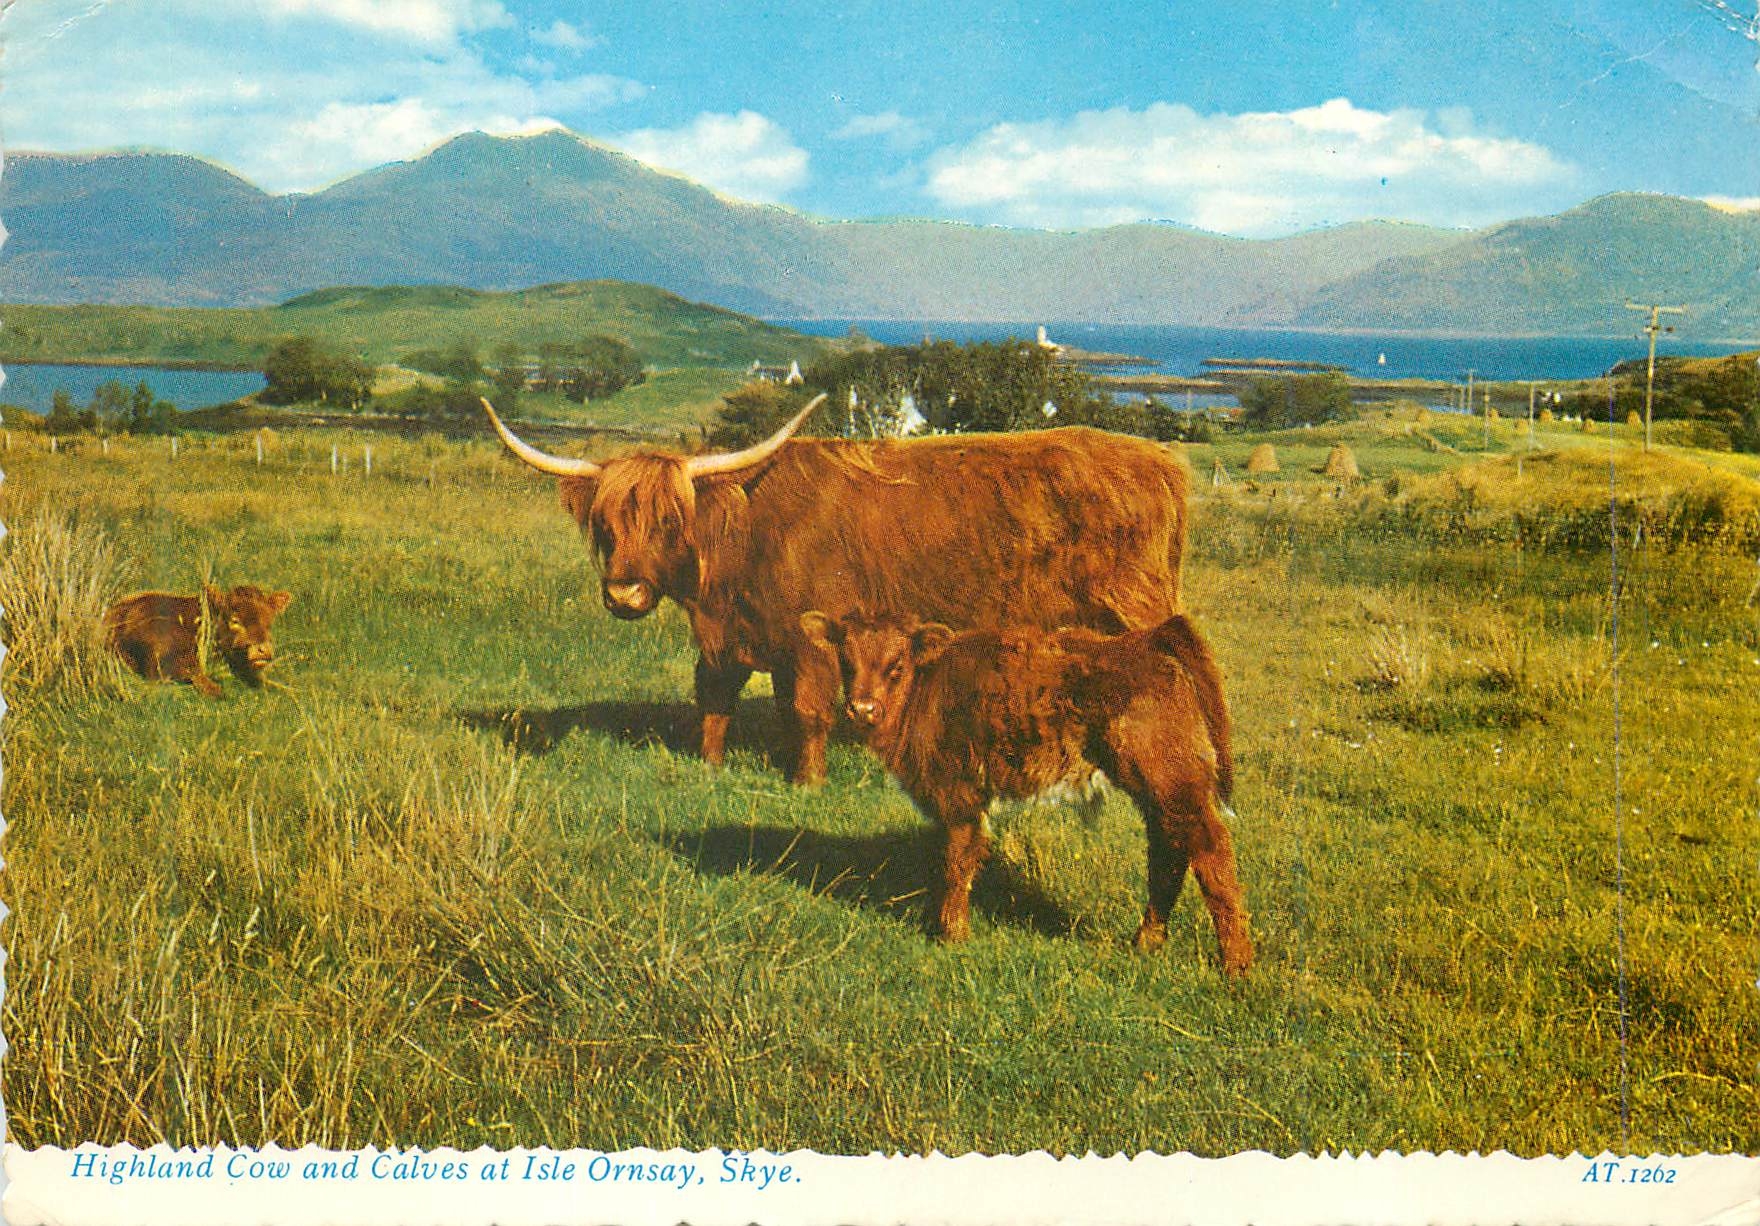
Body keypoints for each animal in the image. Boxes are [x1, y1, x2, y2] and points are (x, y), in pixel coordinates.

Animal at [482, 395, 1198, 785]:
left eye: (669, 522)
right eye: (606, 525)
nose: (625, 593)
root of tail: (1158, 459)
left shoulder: (812, 639)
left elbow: (807, 710)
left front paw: (807, 782)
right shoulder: (734, 640)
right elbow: (715, 699)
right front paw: (710, 765)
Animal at [799, 609, 1251, 976]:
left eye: (897, 664)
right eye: (845, 659)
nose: (862, 709)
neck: (925, 688)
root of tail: (1148, 639)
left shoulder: (960, 798)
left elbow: (955, 863)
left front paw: (951, 935)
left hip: (1172, 784)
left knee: (1210, 850)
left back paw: (1237, 965)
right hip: (1158, 792)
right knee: (1168, 851)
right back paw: (1145, 942)